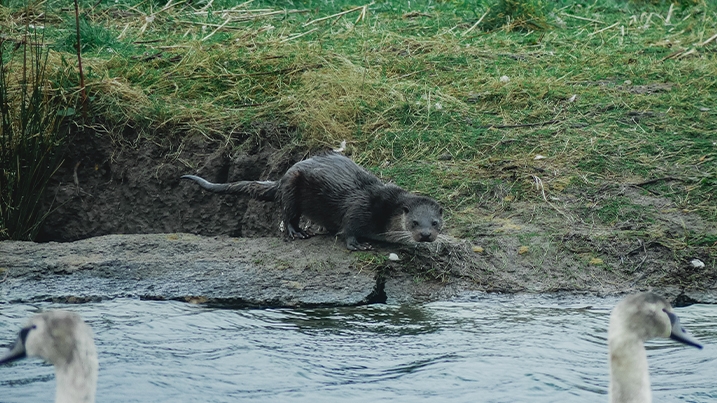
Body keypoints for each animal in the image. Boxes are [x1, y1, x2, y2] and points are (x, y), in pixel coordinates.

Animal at [182, 153, 442, 251]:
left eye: (435, 223)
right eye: (414, 222)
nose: (425, 235)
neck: (386, 209)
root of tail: (283, 175)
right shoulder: (361, 207)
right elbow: (350, 228)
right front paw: (357, 244)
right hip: (291, 189)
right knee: (287, 214)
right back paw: (297, 232)